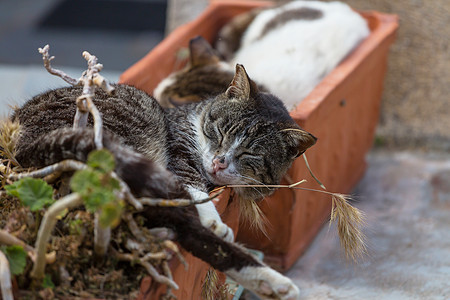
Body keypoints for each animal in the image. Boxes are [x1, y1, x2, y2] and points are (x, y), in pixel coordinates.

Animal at [11, 64, 312, 298]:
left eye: (251, 154)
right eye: (220, 130)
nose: (219, 162)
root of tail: (23, 149)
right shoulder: (178, 153)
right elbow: (191, 186)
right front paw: (214, 221)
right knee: (184, 226)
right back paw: (274, 283)